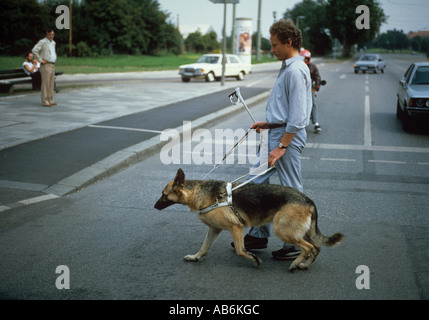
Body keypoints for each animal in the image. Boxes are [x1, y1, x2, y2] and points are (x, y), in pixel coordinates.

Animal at [155, 169, 344, 272]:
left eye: (164, 195)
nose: (155, 206)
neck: (198, 192)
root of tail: (307, 199)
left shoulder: (235, 227)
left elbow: (240, 250)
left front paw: (254, 259)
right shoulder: (214, 230)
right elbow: (204, 248)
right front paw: (195, 258)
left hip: (283, 231)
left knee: (309, 247)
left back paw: (295, 264)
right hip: (299, 232)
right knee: (316, 247)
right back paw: (304, 265)